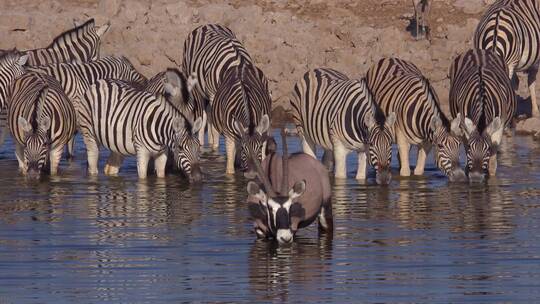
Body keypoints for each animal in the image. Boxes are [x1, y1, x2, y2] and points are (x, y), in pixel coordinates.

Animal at [184, 23, 272, 173]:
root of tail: (208, 24)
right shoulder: (214, 95)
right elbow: (215, 128)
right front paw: (216, 149)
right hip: (197, 87)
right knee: (204, 115)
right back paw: (204, 144)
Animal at [448, 48, 516, 182]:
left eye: (488, 148)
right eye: (470, 147)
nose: (475, 177)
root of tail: (478, 50)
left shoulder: (498, 129)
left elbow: (492, 164)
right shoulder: (466, 129)